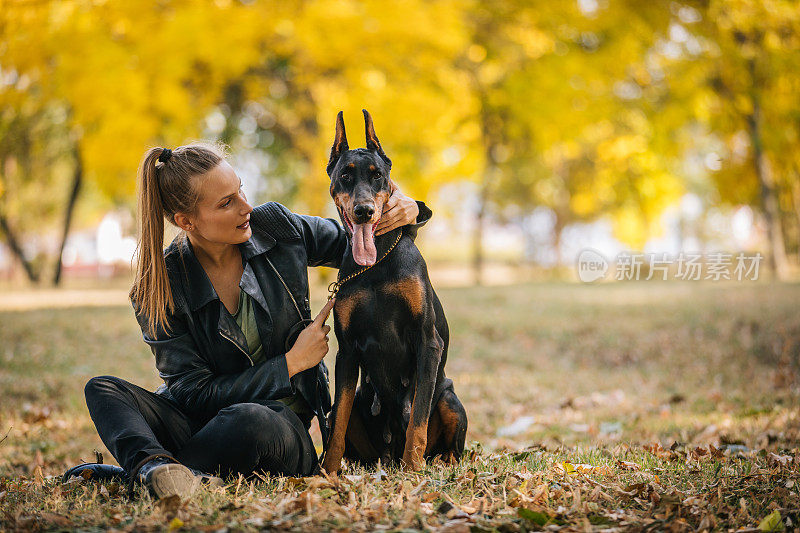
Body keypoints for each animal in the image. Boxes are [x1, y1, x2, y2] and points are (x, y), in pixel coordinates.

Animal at [320, 111, 466, 470]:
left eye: (377, 175)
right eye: (345, 175)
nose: (364, 211)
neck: (376, 265)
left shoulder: (428, 341)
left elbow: (417, 422)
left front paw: (414, 471)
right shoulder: (347, 351)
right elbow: (338, 424)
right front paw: (326, 474)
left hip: (450, 398)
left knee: (451, 445)